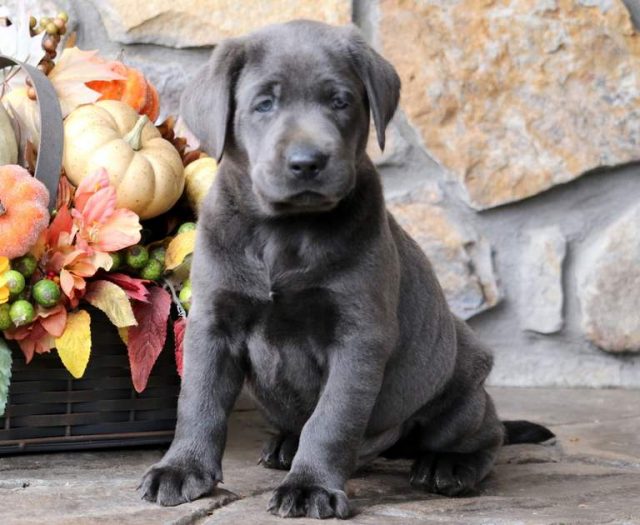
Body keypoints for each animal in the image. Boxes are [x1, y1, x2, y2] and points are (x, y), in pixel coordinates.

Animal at [139, 20, 552, 520]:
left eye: (340, 101)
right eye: (264, 103)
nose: (307, 162)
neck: (286, 233)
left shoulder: (359, 338)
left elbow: (332, 419)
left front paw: (310, 487)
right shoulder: (213, 323)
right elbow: (198, 401)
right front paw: (181, 469)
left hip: (461, 386)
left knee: (488, 433)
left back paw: (449, 467)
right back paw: (285, 445)